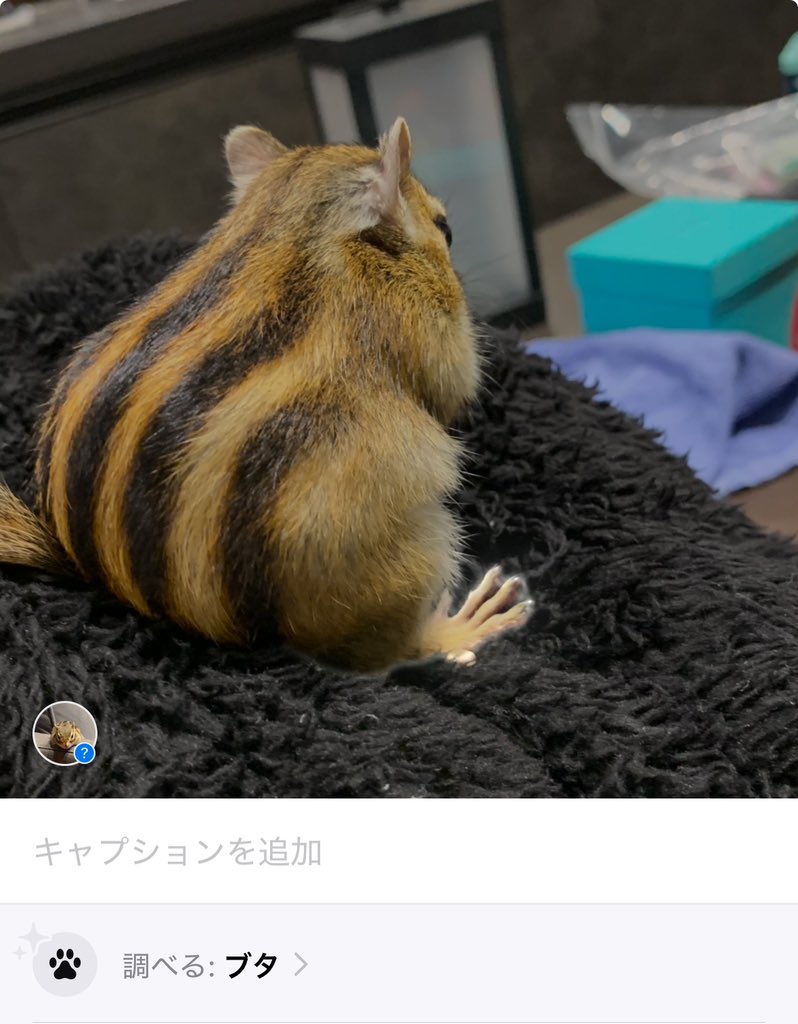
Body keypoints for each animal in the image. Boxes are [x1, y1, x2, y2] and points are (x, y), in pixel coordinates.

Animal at [0, 118, 532, 671]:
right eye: (443, 227)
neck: (287, 222)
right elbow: (451, 385)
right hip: (400, 565)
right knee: (391, 654)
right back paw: (462, 628)